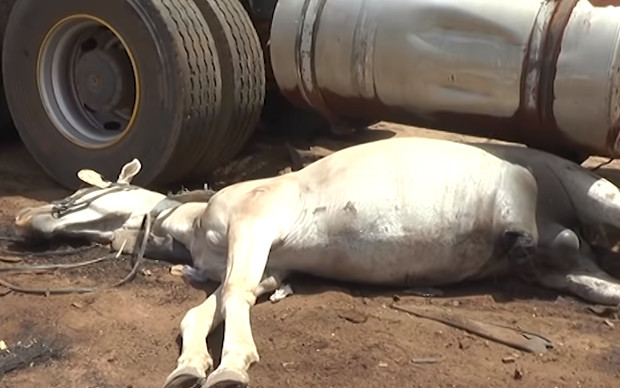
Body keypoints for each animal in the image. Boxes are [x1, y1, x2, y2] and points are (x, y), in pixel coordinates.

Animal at [12, 137, 620, 388]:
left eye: (78, 193)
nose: (23, 222)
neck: (196, 222)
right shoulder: (268, 267)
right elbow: (207, 308)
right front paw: (190, 364)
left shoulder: (255, 225)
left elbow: (233, 296)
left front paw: (231, 368)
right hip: (568, 269)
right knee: (597, 280)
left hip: (593, 194)